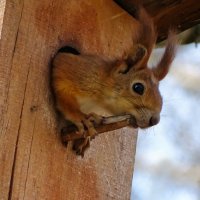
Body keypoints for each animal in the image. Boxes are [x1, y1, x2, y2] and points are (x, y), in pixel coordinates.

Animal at [51, 6, 177, 156]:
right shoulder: (70, 69)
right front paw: (81, 118)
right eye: (138, 87)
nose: (155, 120)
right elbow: (64, 93)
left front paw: (85, 137)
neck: (99, 100)